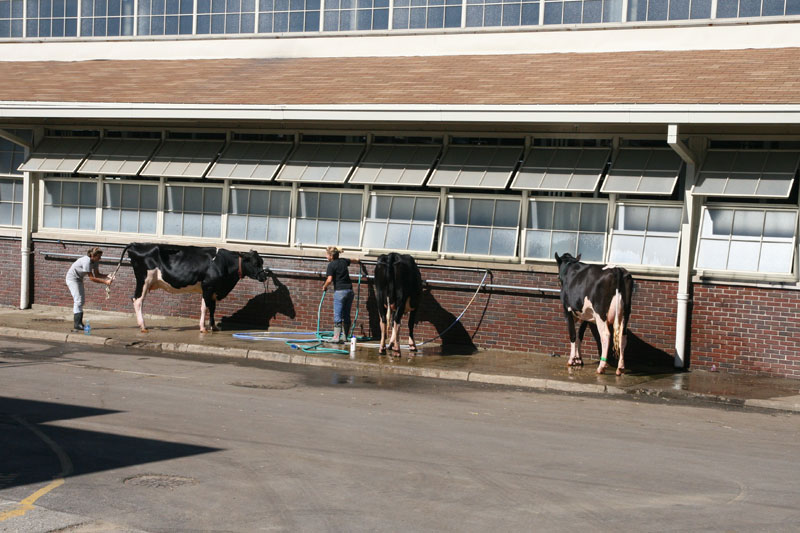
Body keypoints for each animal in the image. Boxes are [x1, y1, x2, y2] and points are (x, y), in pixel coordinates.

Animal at [111, 242, 272, 332]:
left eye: (262, 261)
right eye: (255, 263)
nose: (264, 277)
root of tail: (136, 244)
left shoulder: (213, 290)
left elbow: (212, 308)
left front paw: (214, 327)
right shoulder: (208, 286)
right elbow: (205, 308)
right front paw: (203, 328)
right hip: (144, 280)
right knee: (138, 300)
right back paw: (143, 326)